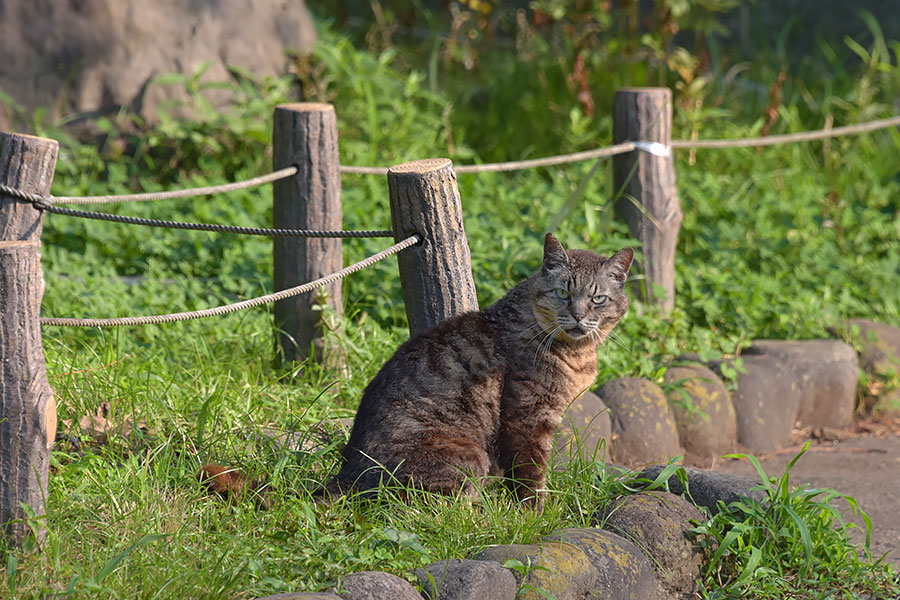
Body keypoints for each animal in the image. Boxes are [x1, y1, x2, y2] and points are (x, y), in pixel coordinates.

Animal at [324, 232, 632, 508]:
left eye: (598, 299)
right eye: (563, 293)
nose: (578, 315)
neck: (576, 353)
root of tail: (347, 475)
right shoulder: (528, 417)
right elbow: (530, 474)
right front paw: (534, 514)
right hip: (468, 457)